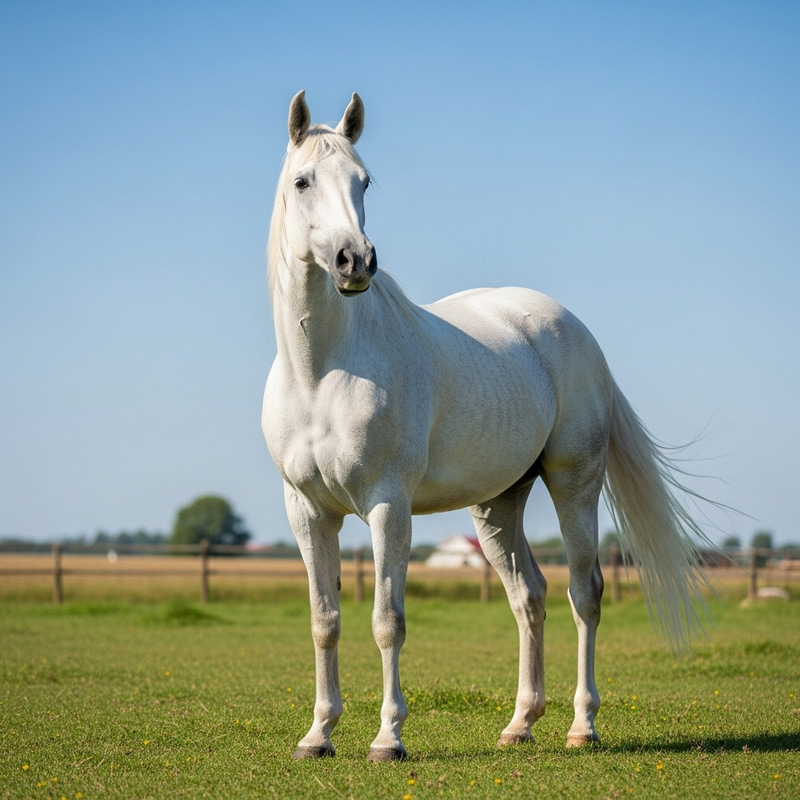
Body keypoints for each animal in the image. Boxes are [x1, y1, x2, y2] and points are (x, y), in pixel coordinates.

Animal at [262, 91, 712, 762]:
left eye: (364, 181)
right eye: (302, 180)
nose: (356, 261)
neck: (323, 372)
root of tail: (575, 331)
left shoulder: (387, 507)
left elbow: (387, 621)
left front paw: (388, 738)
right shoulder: (308, 511)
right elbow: (325, 622)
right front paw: (318, 735)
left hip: (574, 483)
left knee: (585, 593)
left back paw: (582, 726)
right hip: (498, 505)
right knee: (530, 597)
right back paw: (521, 722)